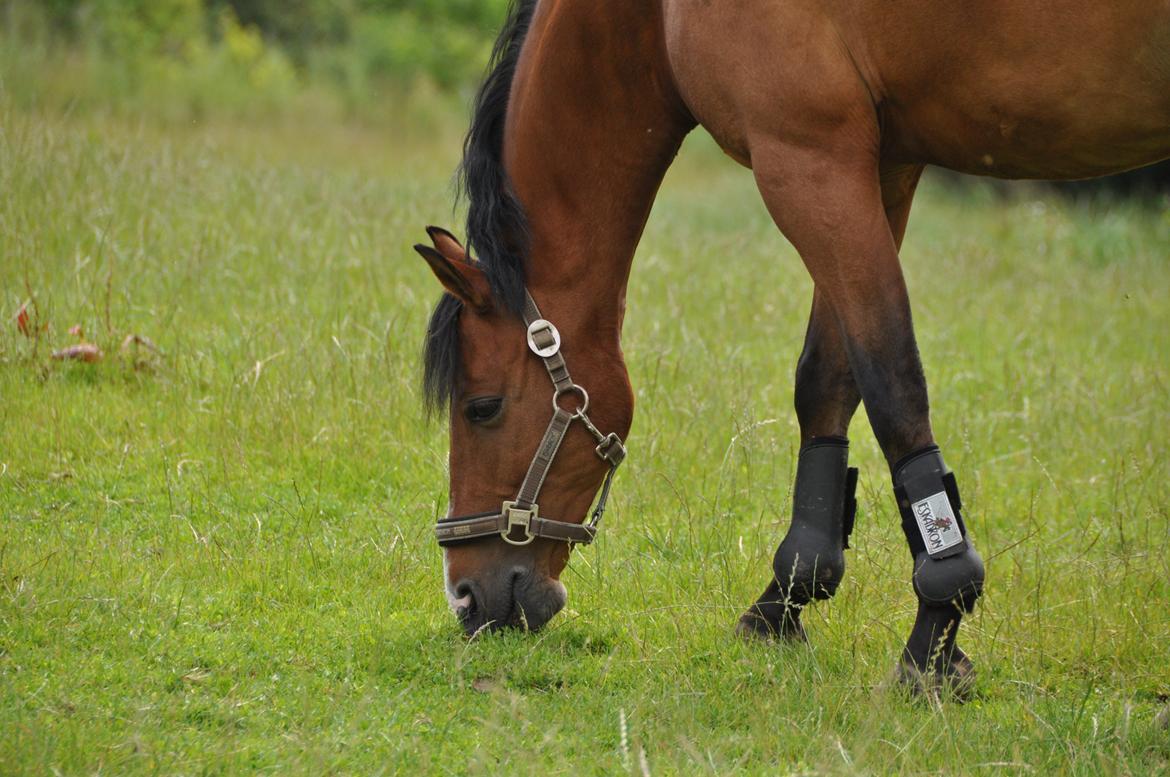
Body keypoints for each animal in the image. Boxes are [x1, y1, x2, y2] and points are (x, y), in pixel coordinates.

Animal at [412, 0, 1170, 696]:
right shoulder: (877, 167)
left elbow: (892, 385)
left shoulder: (806, 159)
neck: (657, 16)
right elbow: (828, 379)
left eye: (481, 407)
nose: (466, 597)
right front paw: (789, 595)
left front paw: (934, 630)